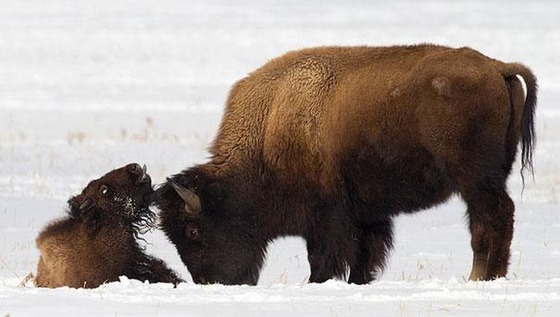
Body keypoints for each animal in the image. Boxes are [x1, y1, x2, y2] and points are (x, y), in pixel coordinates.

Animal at [154, 43, 540, 284]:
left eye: (193, 231)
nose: (210, 282)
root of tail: (497, 68)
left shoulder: (327, 218)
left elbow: (326, 258)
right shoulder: (366, 214)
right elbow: (365, 255)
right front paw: (358, 282)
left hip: (475, 180)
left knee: (491, 220)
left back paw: (481, 276)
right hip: (485, 179)